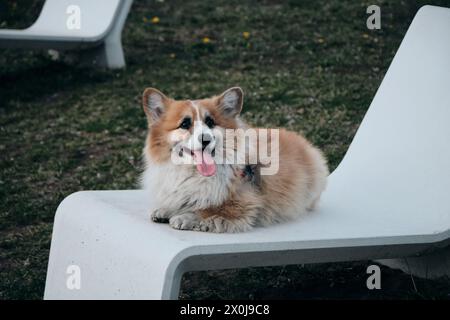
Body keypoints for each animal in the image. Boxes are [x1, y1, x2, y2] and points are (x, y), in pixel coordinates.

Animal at [140, 87, 326, 232]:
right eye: (185, 124)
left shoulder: (241, 204)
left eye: (210, 122)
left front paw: (184, 217)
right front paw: (166, 209)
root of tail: (304, 143)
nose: (205, 139)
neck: (192, 172)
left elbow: (208, 209)